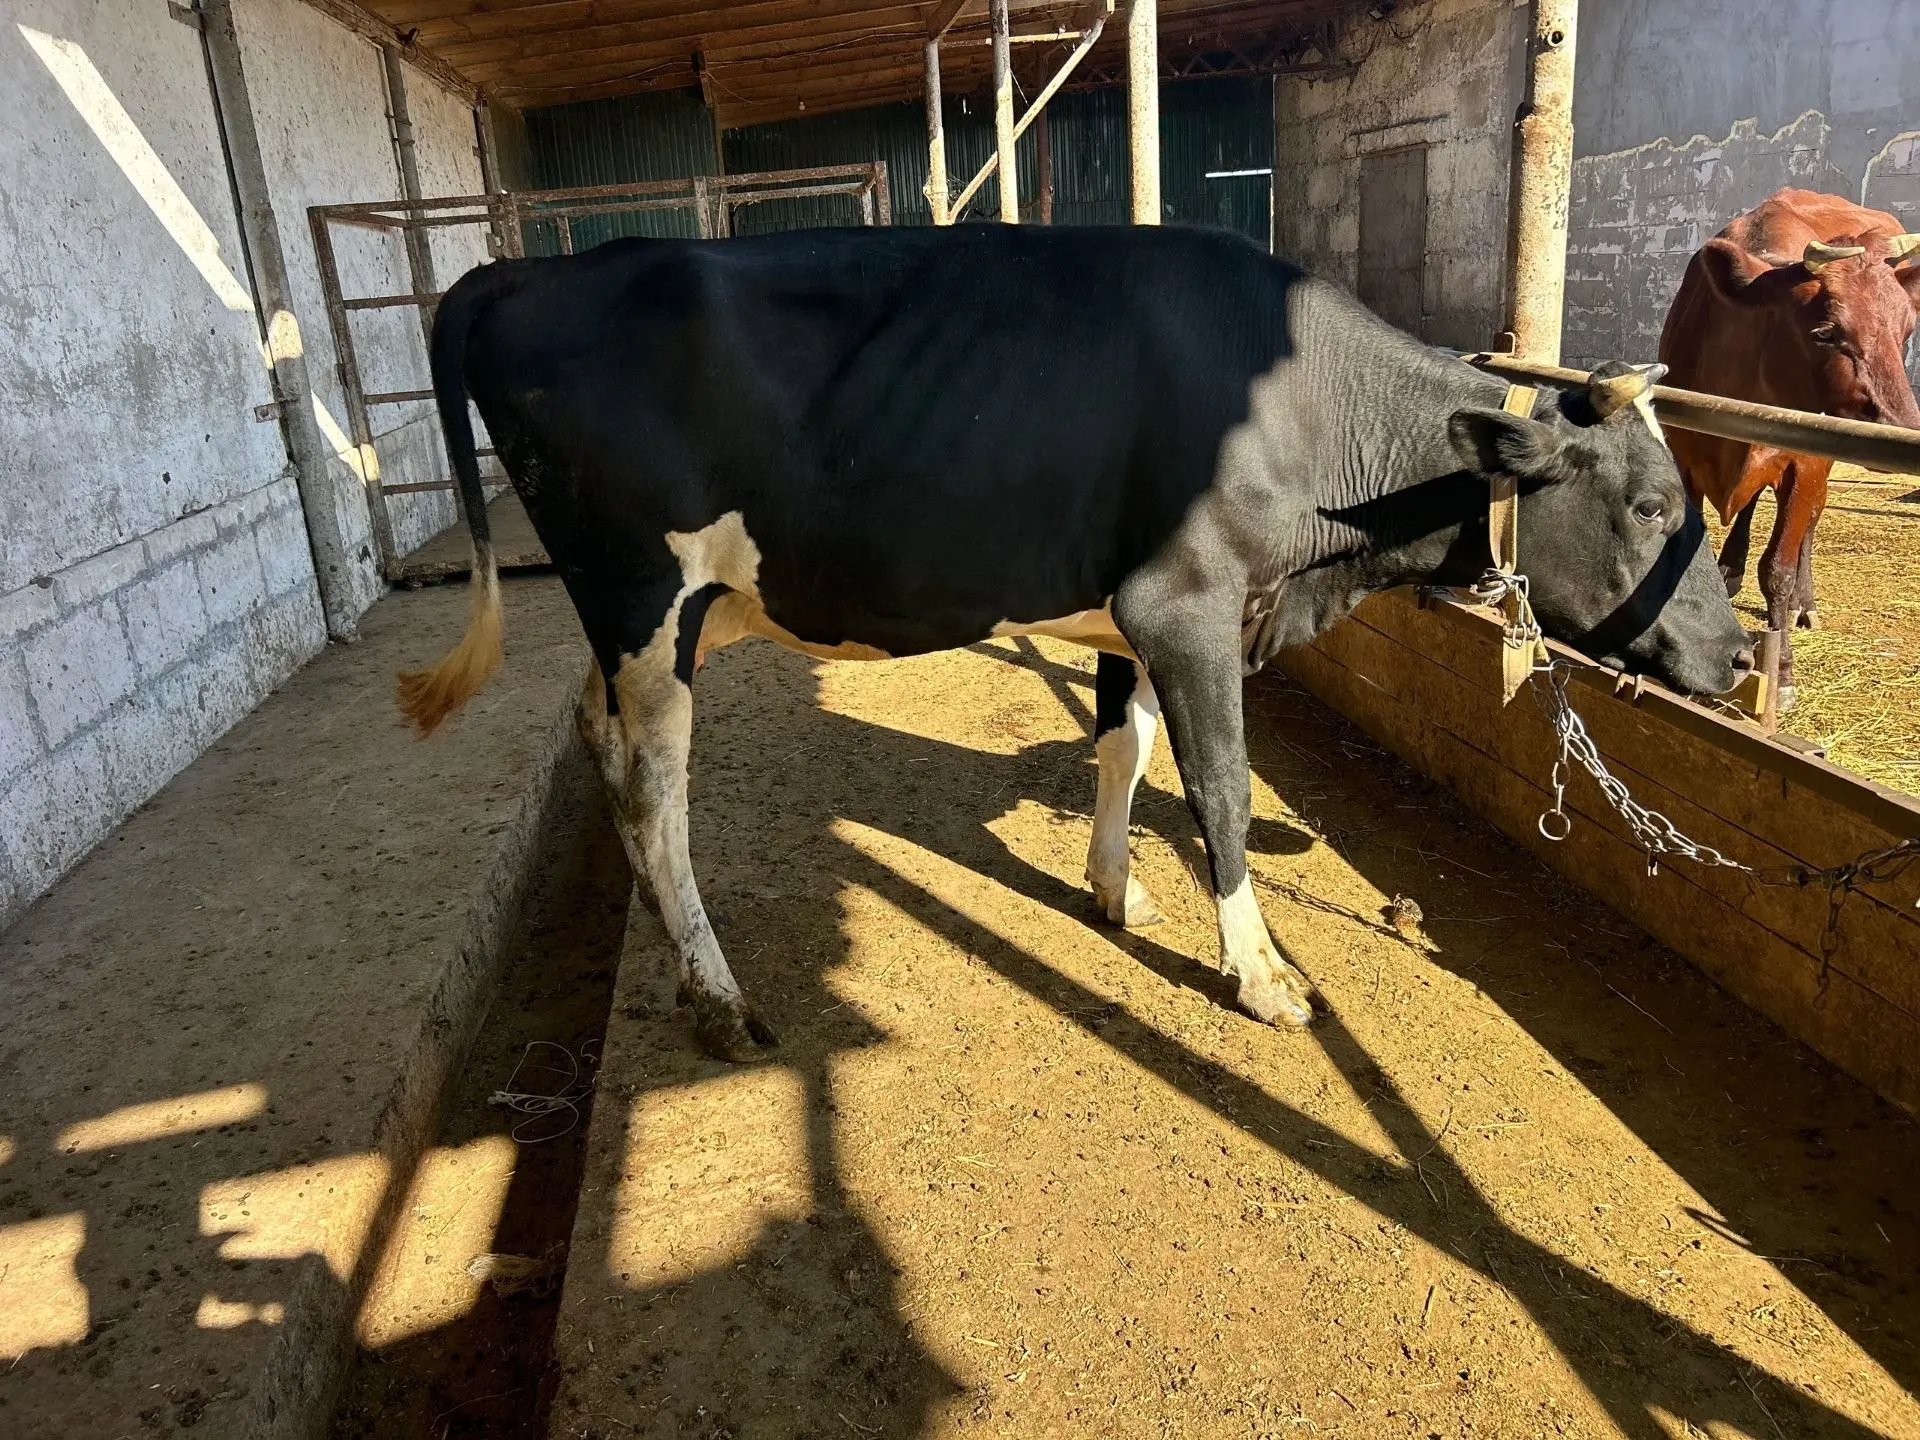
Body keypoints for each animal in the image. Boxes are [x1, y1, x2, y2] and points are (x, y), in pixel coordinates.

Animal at [399, 223, 1751, 1062]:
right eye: (1650, 507)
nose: (1739, 664)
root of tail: (520, 273)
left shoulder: (1129, 613)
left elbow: (1125, 747)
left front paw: (1111, 887)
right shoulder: (1189, 602)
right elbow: (1220, 783)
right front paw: (1260, 974)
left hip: (658, 616)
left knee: (604, 749)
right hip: (641, 593)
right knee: (652, 782)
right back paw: (716, 994)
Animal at [1659, 187, 1920, 707]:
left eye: (1905, 333)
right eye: (1825, 332)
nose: (1904, 426)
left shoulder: (1807, 464)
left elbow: (1777, 568)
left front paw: (1779, 672)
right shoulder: (1684, 456)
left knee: (1810, 523)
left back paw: (1805, 601)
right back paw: (1731, 569)